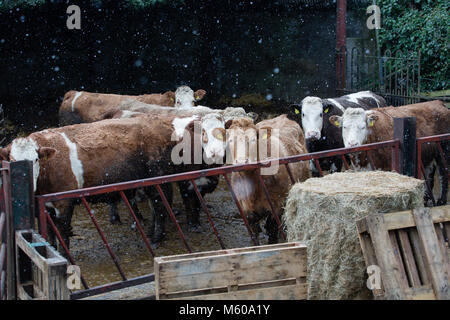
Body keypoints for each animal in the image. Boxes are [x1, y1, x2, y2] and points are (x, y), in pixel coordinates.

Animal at [227, 114, 312, 242]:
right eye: (231, 140)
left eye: (253, 139)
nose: (241, 162)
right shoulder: (246, 209)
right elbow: (255, 233)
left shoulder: (278, 204)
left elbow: (272, 230)